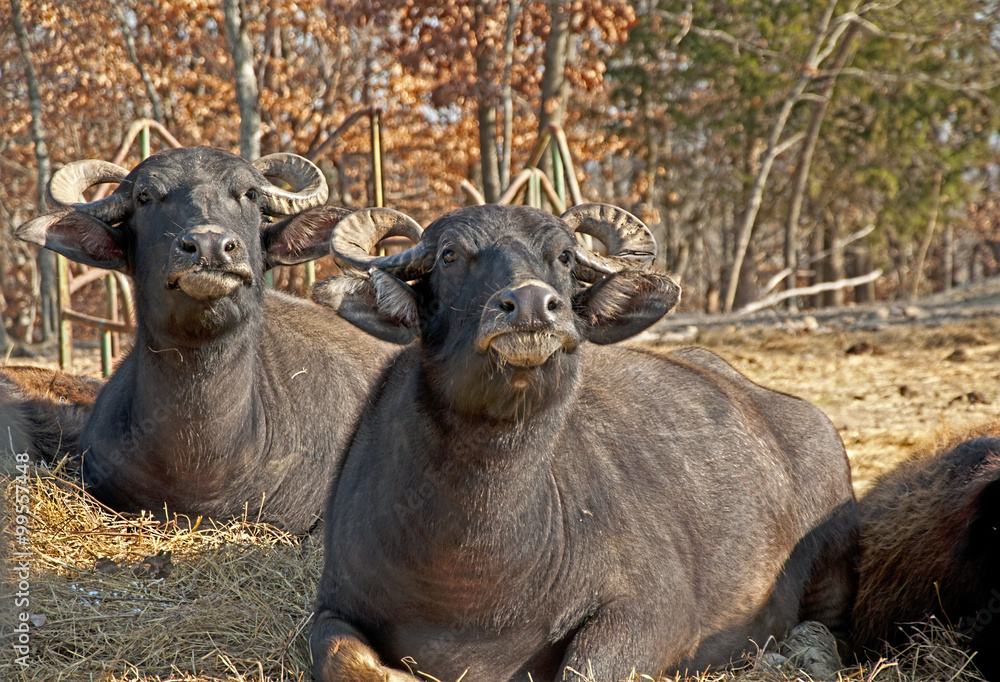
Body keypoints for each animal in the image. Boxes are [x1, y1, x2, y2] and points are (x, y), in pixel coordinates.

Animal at [309, 203, 860, 681]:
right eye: (449, 255)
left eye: (565, 257)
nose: (532, 304)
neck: (470, 570)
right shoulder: (333, 604)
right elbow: (340, 657)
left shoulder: (654, 613)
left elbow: (587, 669)